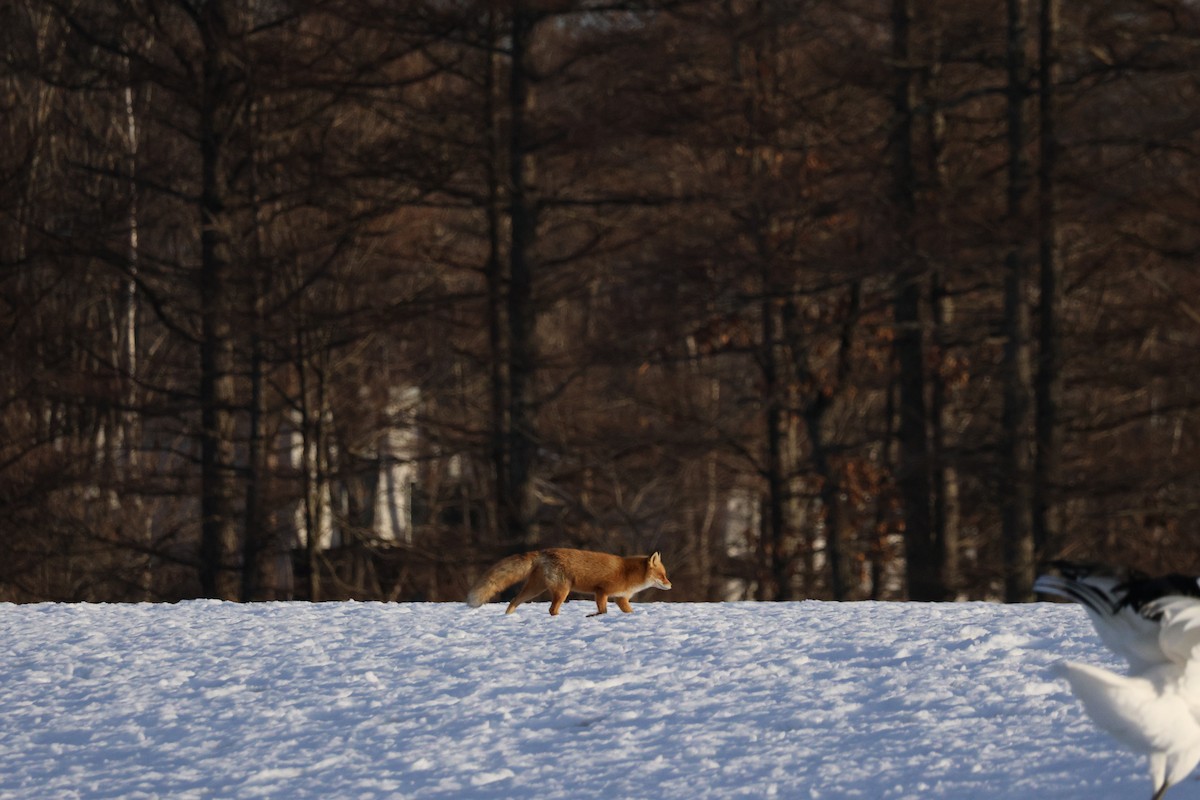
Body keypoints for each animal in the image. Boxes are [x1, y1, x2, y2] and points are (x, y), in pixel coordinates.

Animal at [467, 548, 671, 616]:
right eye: (662, 575)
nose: (670, 585)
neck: (629, 574)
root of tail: (543, 551)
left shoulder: (620, 599)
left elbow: (628, 611)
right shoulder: (601, 591)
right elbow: (602, 610)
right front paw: (595, 617)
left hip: (535, 589)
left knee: (514, 600)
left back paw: (507, 618)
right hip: (562, 590)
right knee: (551, 609)